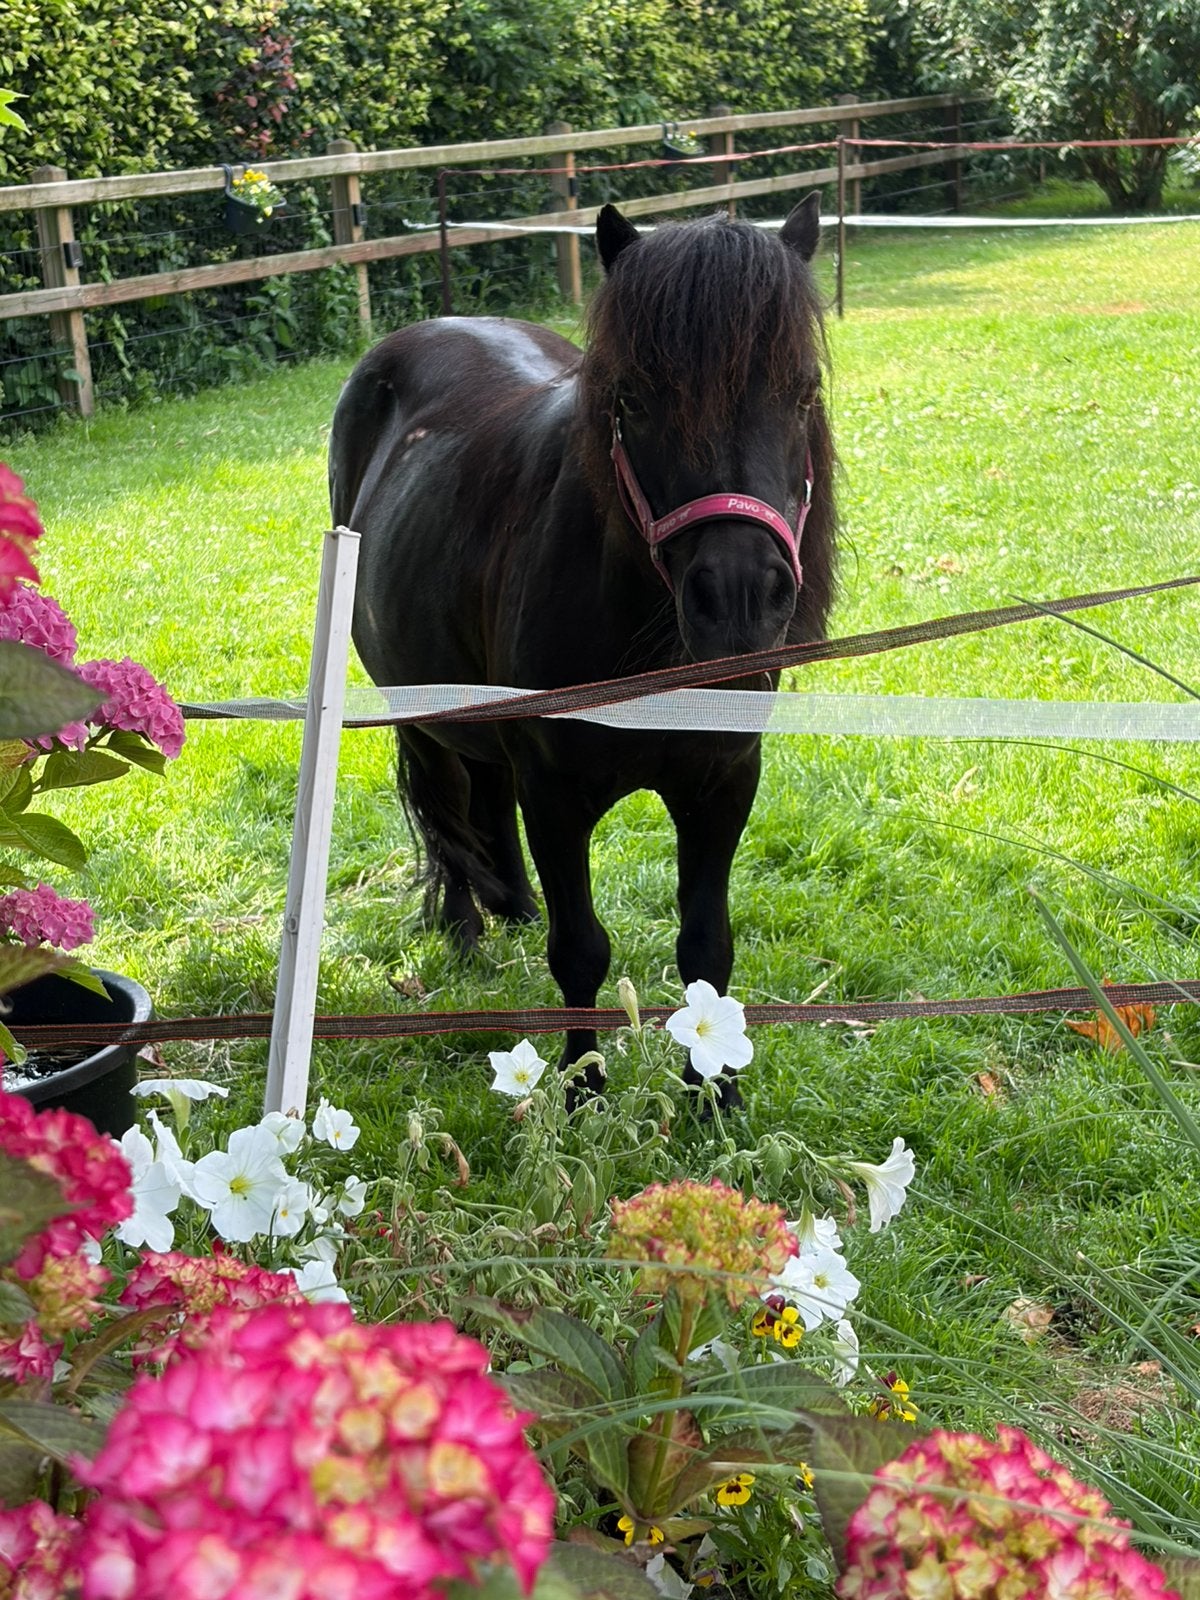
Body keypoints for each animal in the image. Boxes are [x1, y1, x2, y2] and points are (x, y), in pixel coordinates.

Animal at [329, 196, 837, 1097]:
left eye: (803, 389)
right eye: (632, 400)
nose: (739, 598)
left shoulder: (723, 783)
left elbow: (707, 949)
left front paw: (714, 1094)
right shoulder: (557, 797)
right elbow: (580, 951)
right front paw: (580, 1090)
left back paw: (512, 904)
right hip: (416, 712)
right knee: (446, 804)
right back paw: (468, 927)